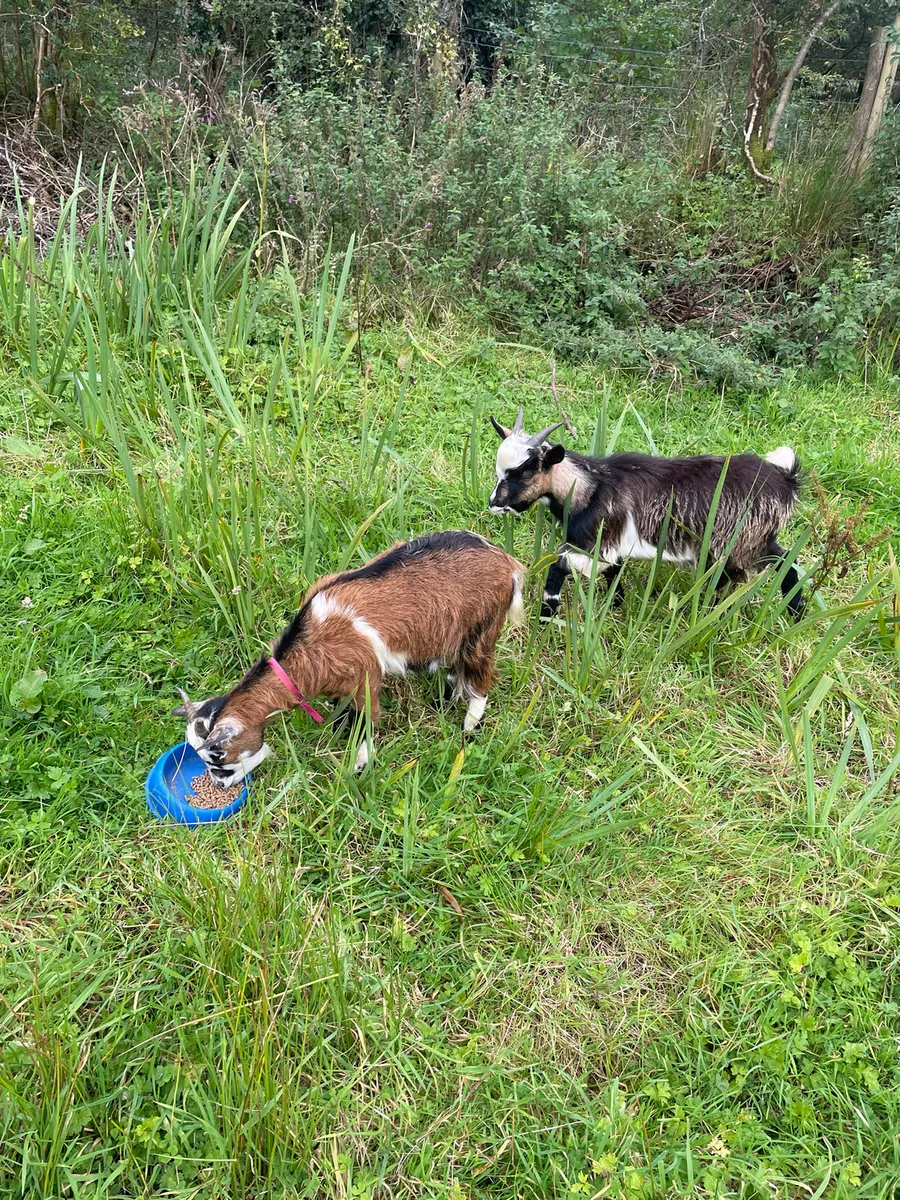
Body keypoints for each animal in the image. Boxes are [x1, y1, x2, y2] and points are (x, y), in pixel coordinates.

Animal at [173, 531, 525, 784]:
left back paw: (469, 726)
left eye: (218, 756)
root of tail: (508, 563)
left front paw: (359, 766)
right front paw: (338, 728)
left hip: (483, 629)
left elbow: (366, 721)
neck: (310, 641)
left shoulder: (365, 674)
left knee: (481, 675)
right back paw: (448, 697)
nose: (219, 785)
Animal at [488, 408, 804, 620]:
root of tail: (784, 480)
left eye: (525, 471)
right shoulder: (614, 546)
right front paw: (615, 606)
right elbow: (614, 575)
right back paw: (795, 612)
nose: (493, 503)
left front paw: (547, 613)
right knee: (787, 561)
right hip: (757, 541)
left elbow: (558, 564)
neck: (591, 487)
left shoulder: (596, 546)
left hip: (739, 545)